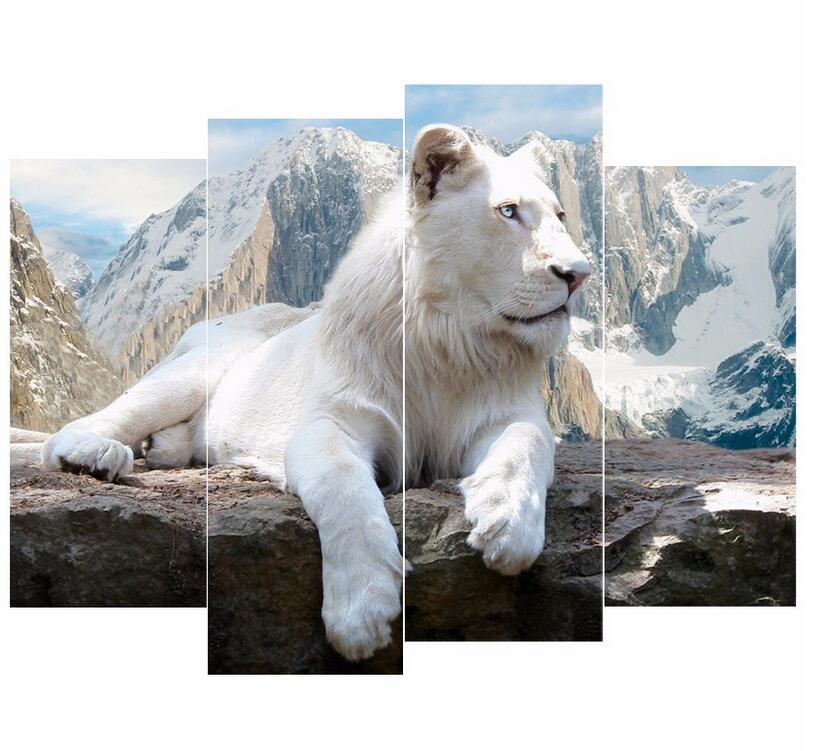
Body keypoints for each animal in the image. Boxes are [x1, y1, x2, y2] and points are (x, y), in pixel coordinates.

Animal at [38, 124, 590, 661]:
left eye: (562, 215)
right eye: (508, 211)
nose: (579, 275)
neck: (450, 340)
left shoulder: (505, 414)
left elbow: (526, 445)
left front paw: (507, 524)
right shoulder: (333, 422)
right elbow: (343, 487)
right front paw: (362, 610)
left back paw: (163, 448)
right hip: (195, 370)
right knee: (85, 425)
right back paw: (96, 454)